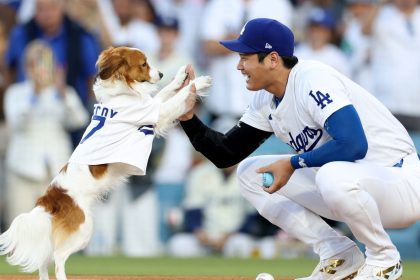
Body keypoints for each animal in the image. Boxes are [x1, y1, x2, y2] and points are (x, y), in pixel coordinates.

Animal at [0, 46, 212, 280]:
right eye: (144, 64)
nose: (161, 74)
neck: (120, 93)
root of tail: (50, 198)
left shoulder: (150, 106)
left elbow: (164, 92)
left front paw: (181, 76)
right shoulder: (155, 112)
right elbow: (176, 98)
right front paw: (199, 82)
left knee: (44, 260)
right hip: (83, 229)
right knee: (57, 258)